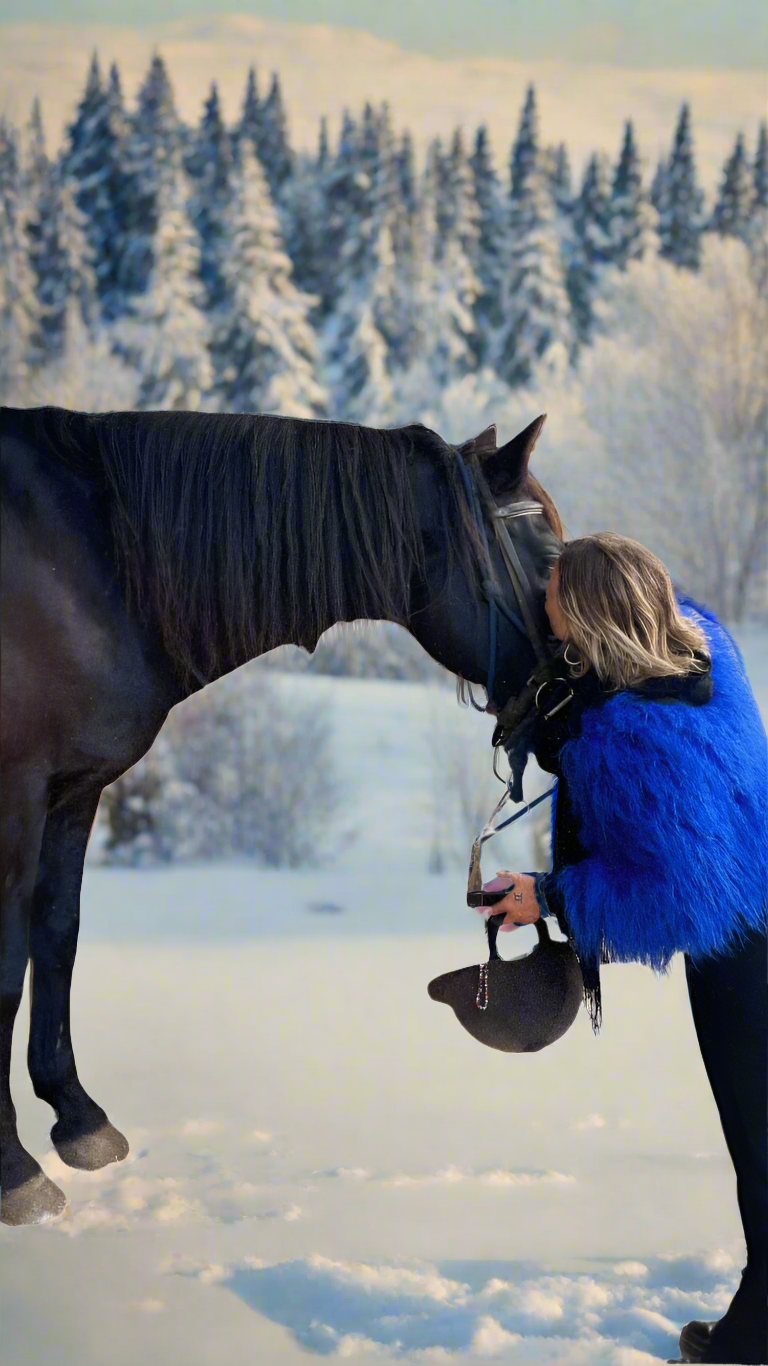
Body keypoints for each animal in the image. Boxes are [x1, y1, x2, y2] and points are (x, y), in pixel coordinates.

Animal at [1, 407, 563, 1229]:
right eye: (549, 555)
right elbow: (9, 969)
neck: (92, 558)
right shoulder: (17, 792)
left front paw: (77, 1119)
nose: (583, 685)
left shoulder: (72, 795)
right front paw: (12, 1170)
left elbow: (56, 940)